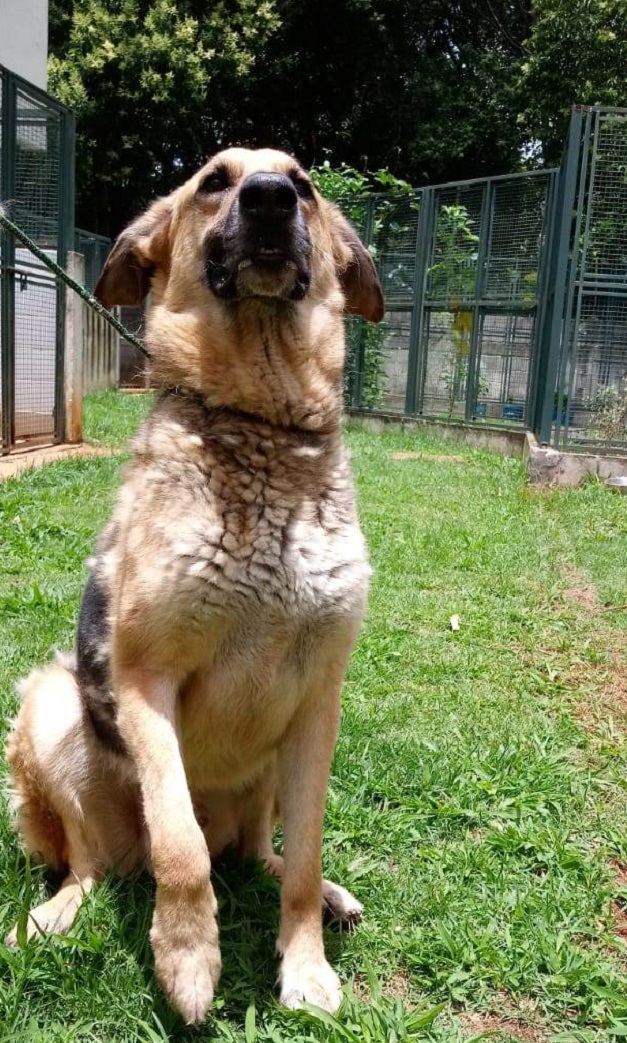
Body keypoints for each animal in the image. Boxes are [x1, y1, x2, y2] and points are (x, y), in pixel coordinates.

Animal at [4, 149, 383, 1026]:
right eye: (215, 180)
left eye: (303, 184)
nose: (270, 198)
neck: (262, 424)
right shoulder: (147, 681)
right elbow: (179, 848)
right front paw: (186, 957)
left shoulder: (319, 702)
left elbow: (304, 855)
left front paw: (305, 962)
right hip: (54, 707)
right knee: (108, 862)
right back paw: (54, 914)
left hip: (270, 774)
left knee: (259, 852)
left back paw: (319, 889)